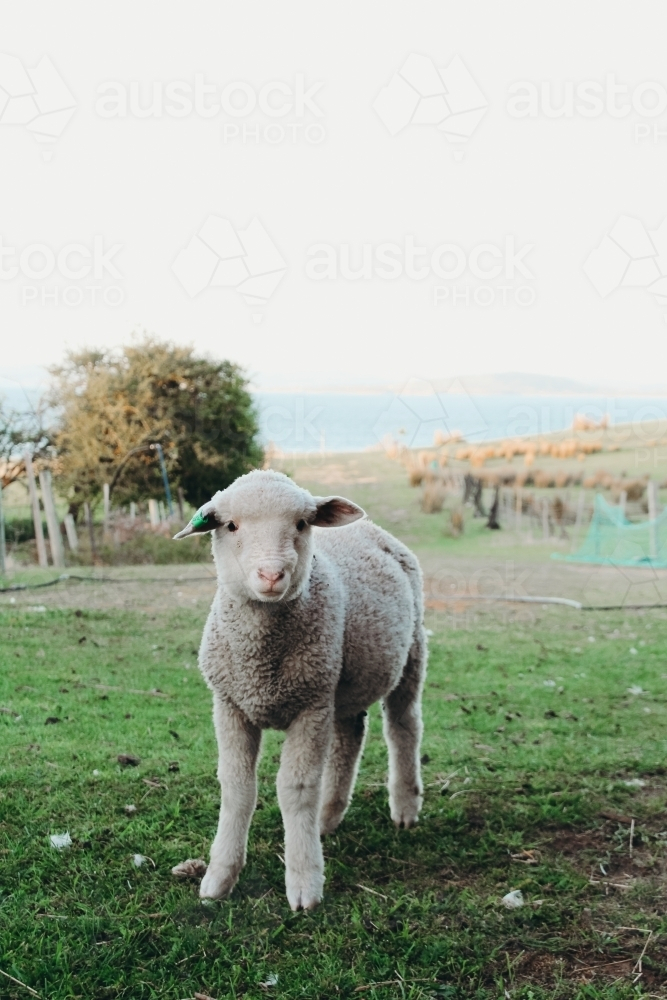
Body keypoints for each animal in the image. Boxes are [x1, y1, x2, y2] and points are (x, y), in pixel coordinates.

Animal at [171, 469, 426, 911]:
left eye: (302, 524)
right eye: (231, 525)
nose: (272, 575)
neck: (261, 661)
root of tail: (370, 528)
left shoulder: (311, 707)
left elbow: (296, 789)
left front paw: (304, 881)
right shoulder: (230, 704)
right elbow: (237, 787)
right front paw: (219, 877)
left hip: (408, 654)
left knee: (403, 726)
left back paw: (405, 807)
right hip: (340, 682)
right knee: (350, 736)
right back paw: (327, 818)